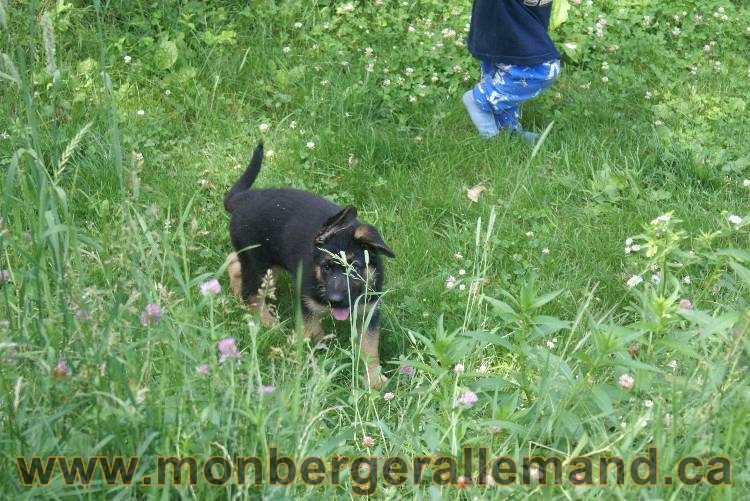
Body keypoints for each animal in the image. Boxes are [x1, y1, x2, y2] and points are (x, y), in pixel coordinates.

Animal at [225, 143, 396, 388]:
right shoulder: (306, 303)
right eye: (326, 267)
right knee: (252, 295)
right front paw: (311, 352)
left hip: (268, 264)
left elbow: (370, 347)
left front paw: (374, 380)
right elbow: (310, 330)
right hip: (258, 264)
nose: (335, 300)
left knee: (233, 262)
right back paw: (270, 323)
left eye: (355, 266)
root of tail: (243, 198)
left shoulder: (368, 311)